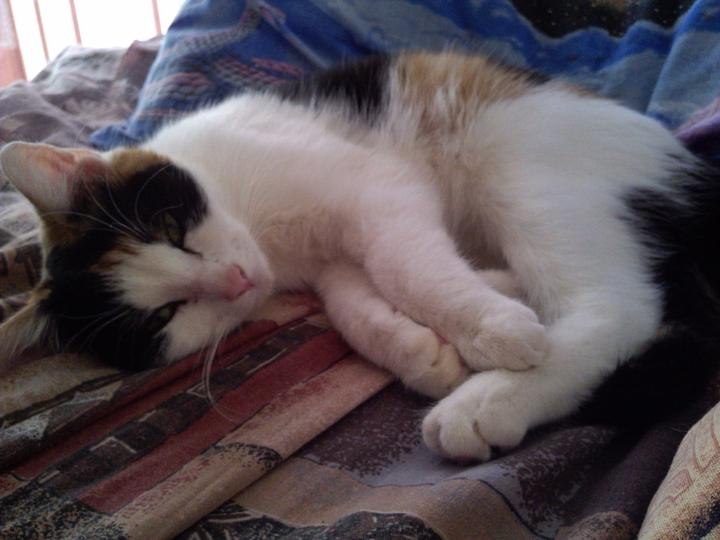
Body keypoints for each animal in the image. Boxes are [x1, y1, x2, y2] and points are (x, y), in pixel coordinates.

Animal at [1, 51, 719, 461]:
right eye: (164, 317)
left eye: (172, 226)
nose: (233, 281)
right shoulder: (331, 264)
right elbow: (356, 309)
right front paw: (423, 352)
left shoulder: (376, 188)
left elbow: (405, 268)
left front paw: (492, 329)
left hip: (524, 173)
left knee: (617, 308)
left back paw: (489, 398)